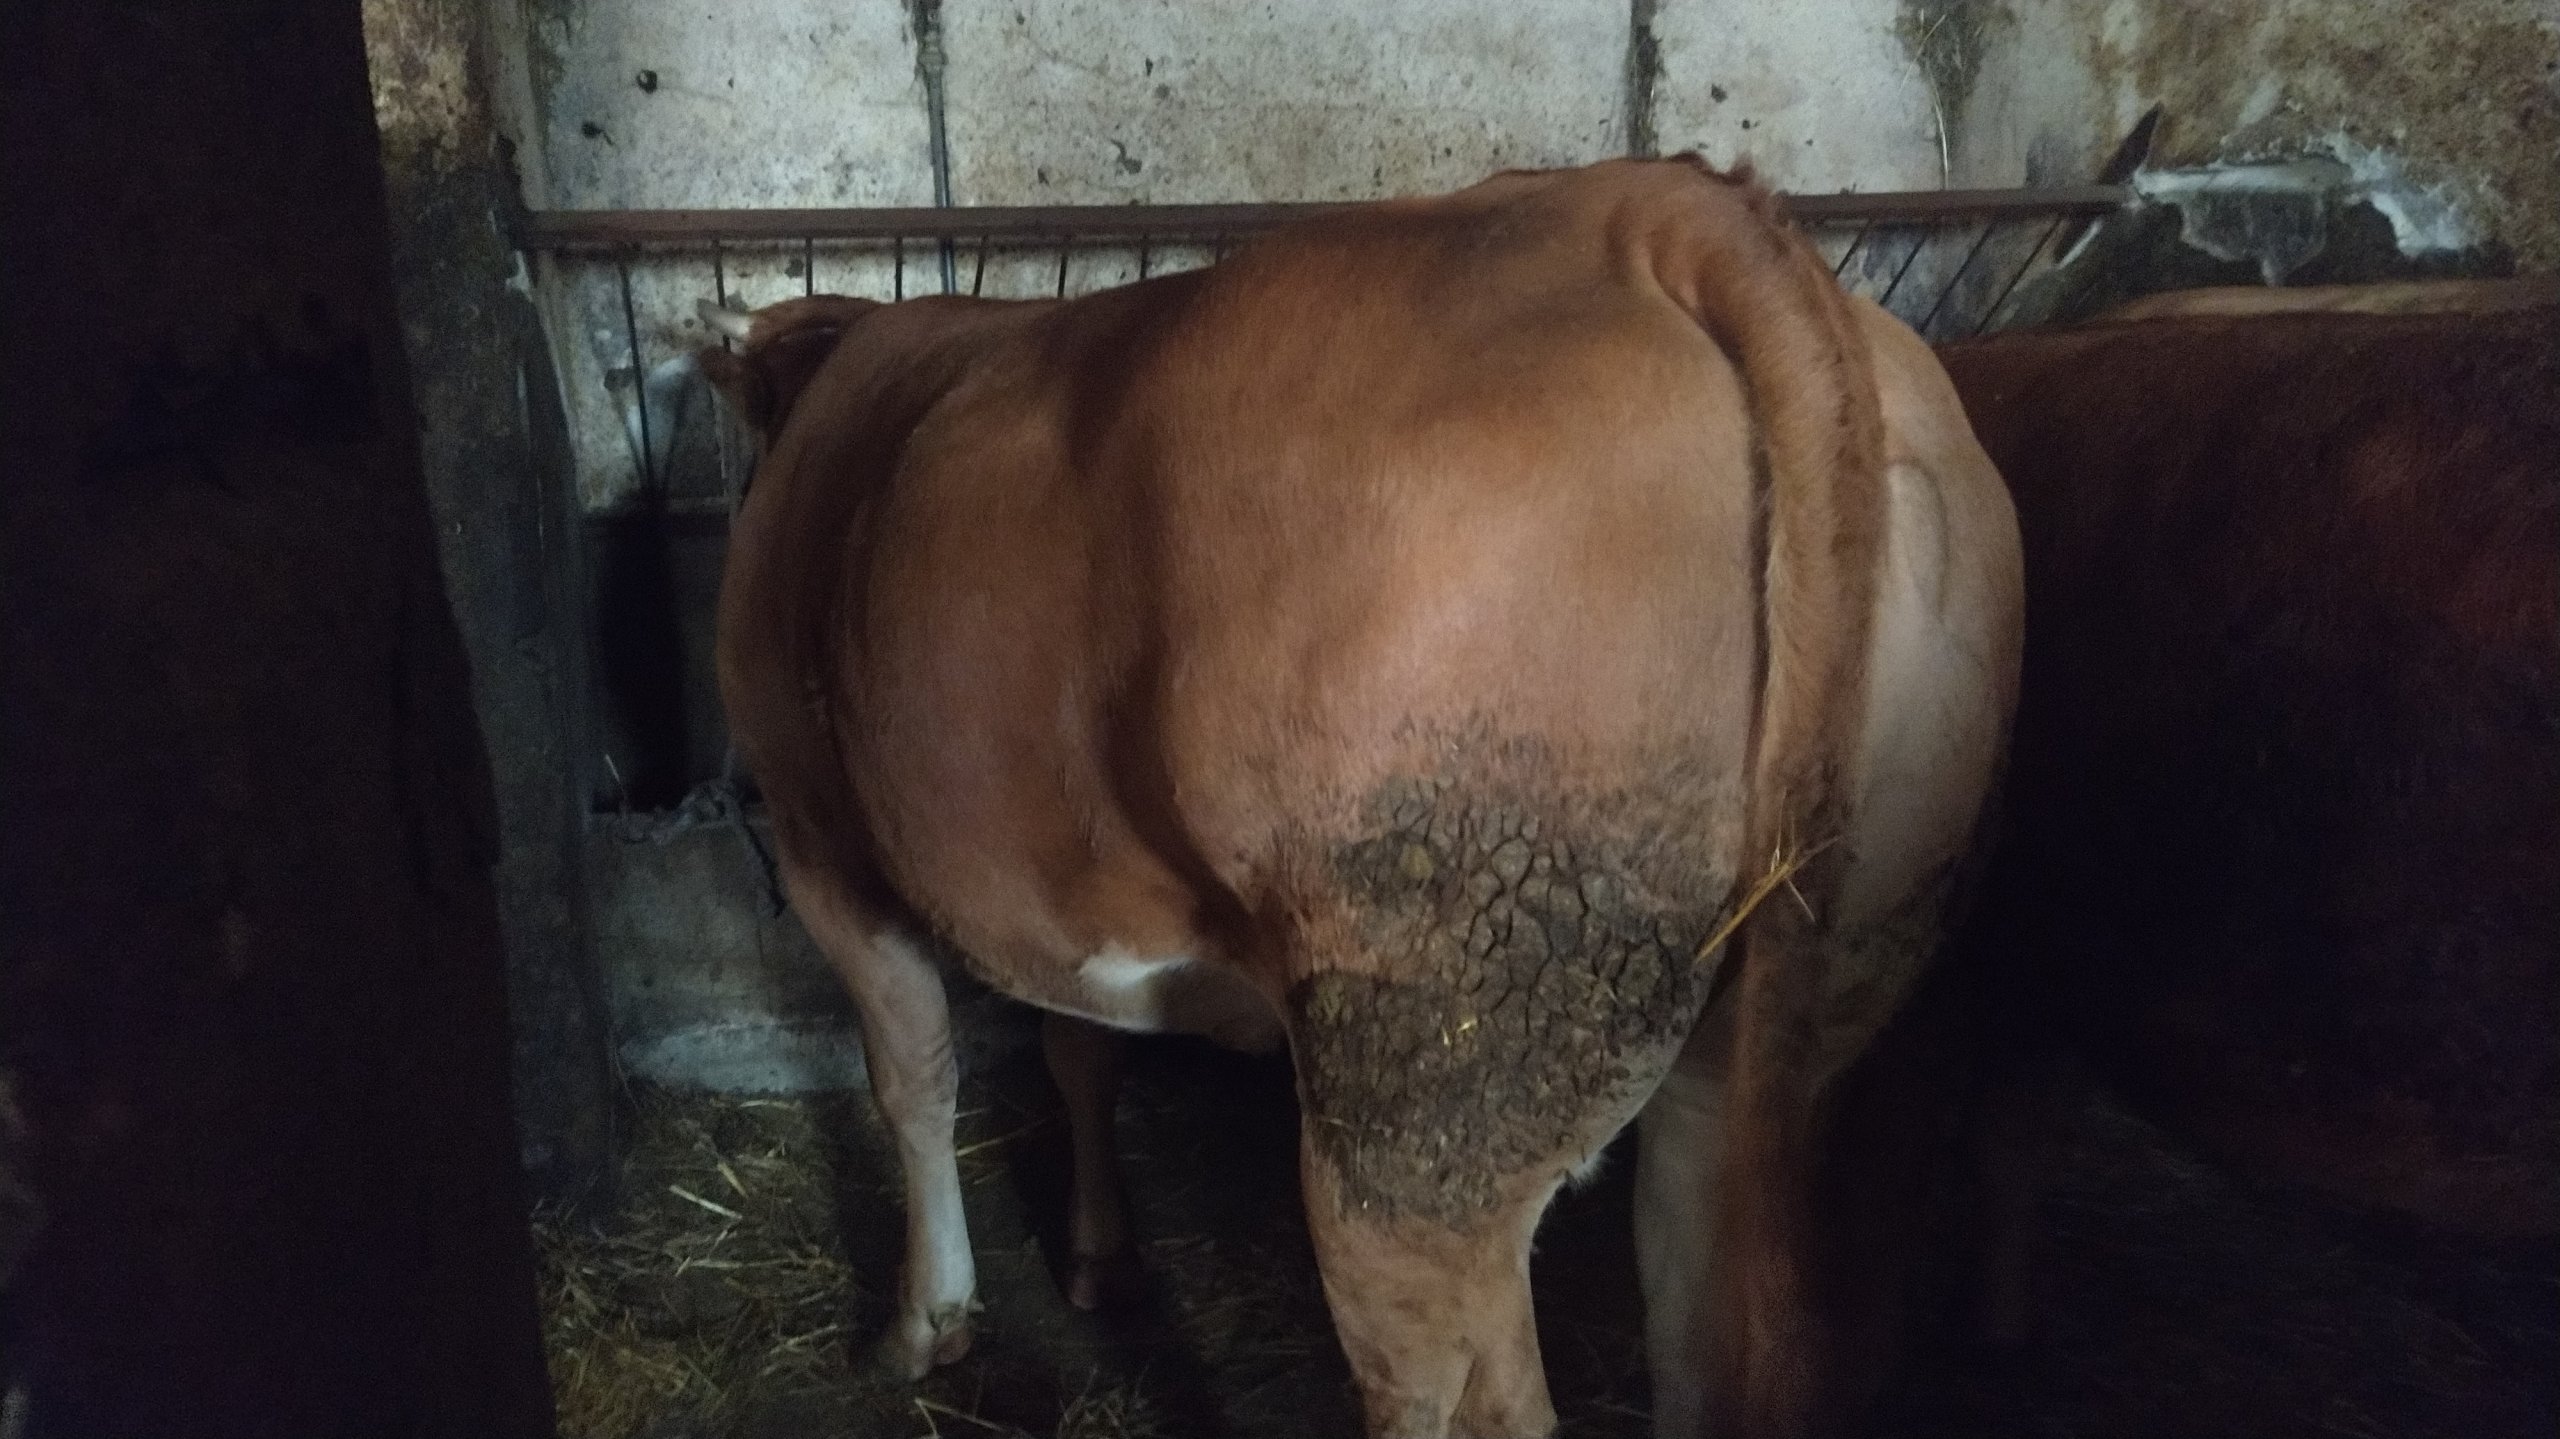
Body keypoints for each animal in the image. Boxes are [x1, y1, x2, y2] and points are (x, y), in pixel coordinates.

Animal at [697, 157, 2022, 1439]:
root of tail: (1651, 203)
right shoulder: (1050, 882)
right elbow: (1079, 1050)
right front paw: (1098, 1258)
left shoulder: (818, 838)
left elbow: (914, 1079)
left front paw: (925, 1322)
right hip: (1800, 999)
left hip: (1428, 1076)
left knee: (1460, 1382)